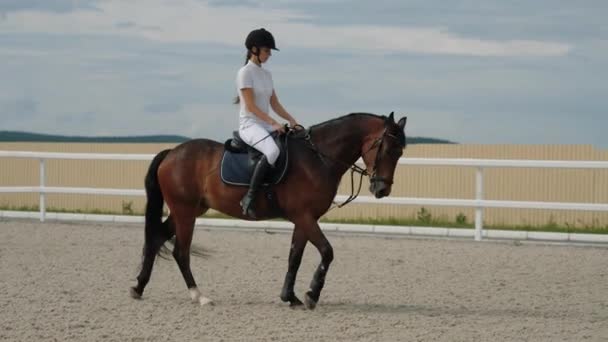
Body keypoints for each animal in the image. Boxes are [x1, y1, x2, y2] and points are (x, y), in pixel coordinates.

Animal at [130, 112, 406, 310]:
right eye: (387, 149)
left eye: (400, 152)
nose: (382, 189)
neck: (318, 158)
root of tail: (172, 153)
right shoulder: (305, 217)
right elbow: (327, 252)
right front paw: (311, 295)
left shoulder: (304, 219)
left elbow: (295, 256)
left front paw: (290, 297)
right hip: (185, 213)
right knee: (181, 252)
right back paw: (199, 296)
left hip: (186, 211)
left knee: (156, 238)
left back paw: (139, 288)